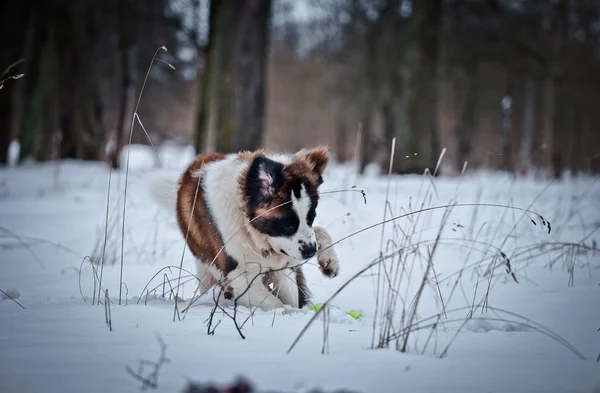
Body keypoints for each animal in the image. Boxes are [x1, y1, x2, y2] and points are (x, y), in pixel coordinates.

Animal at [149, 146, 338, 310]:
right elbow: (279, 306)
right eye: (287, 225)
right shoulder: (239, 279)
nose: (310, 251)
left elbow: (320, 230)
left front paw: (329, 261)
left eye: (310, 218)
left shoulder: (286, 264)